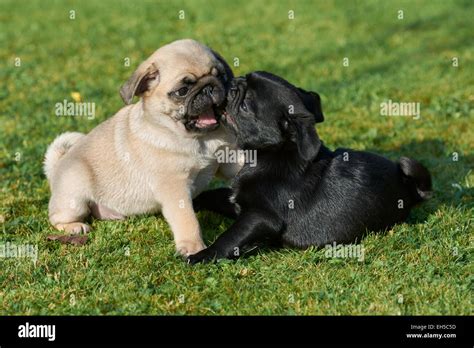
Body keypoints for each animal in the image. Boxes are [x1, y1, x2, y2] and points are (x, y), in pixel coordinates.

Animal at [43, 38, 241, 256]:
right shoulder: (175, 187)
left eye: (221, 76)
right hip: (75, 193)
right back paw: (74, 227)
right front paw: (193, 247)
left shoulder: (225, 162)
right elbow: (187, 219)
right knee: (57, 218)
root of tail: (57, 166)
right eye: (182, 91)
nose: (209, 87)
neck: (198, 139)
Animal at [187, 72, 432, 266]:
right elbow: (213, 195)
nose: (233, 82)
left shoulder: (260, 217)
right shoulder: (236, 202)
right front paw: (193, 202)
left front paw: (202, 255)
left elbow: (230, 237)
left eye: (245, 105)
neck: (273, 154)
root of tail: (409, 190)